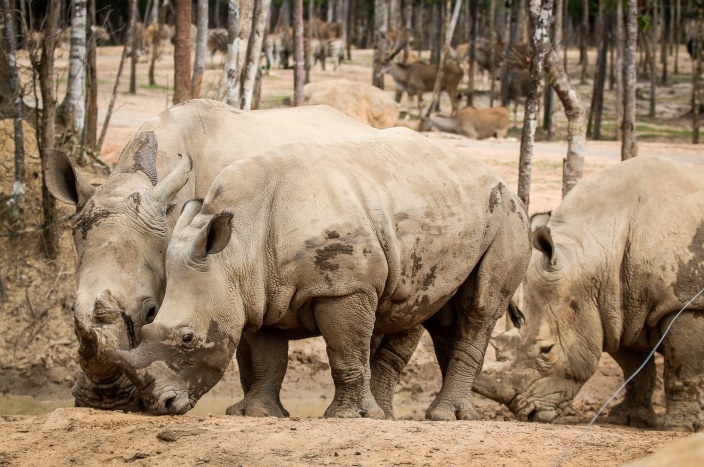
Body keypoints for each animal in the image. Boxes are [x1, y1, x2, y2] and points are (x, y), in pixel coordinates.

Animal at [104, 126, 532, 418]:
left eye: (188, 338)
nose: (159, 404)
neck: (235, 252)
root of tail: (501, 179)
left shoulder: (345, 286)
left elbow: (345, 349)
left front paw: (349, 418)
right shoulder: (257, 291)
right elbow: (269, 358)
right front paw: (257, 414)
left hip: (510, 217)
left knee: (479, 308)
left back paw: (442, 416)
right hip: (447, 209)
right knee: (437, 310)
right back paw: (440, 416)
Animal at [472, 156, 704, 432]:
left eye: (546, 350)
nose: (528, 414)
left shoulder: (684, 303)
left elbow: (683, 369)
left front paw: (680, 427)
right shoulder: (617, 311)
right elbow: (635, 370)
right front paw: (628, 419)